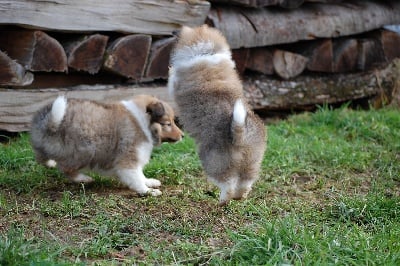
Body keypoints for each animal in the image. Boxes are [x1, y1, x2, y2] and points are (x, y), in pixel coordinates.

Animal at [30, 94, 184, 196]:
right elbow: (137, 178)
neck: (143, 123)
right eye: (168, 123)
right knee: (66, 168)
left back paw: (51, 163)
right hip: (81, 151)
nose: (183, 135)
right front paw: (148, 191)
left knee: (41, 157)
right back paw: (84, 178)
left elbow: (141, 175)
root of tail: (51, 122)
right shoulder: (128, 160)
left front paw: (149, 182)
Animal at [167, 23, 268, 205]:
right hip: (252, 161)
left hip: (213, 161)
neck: (206, 53)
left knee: (227, 184)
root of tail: (240, 135)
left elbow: (171, 79)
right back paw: (239, 196)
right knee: (246, 182)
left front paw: (171, 69)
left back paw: (222, 201)